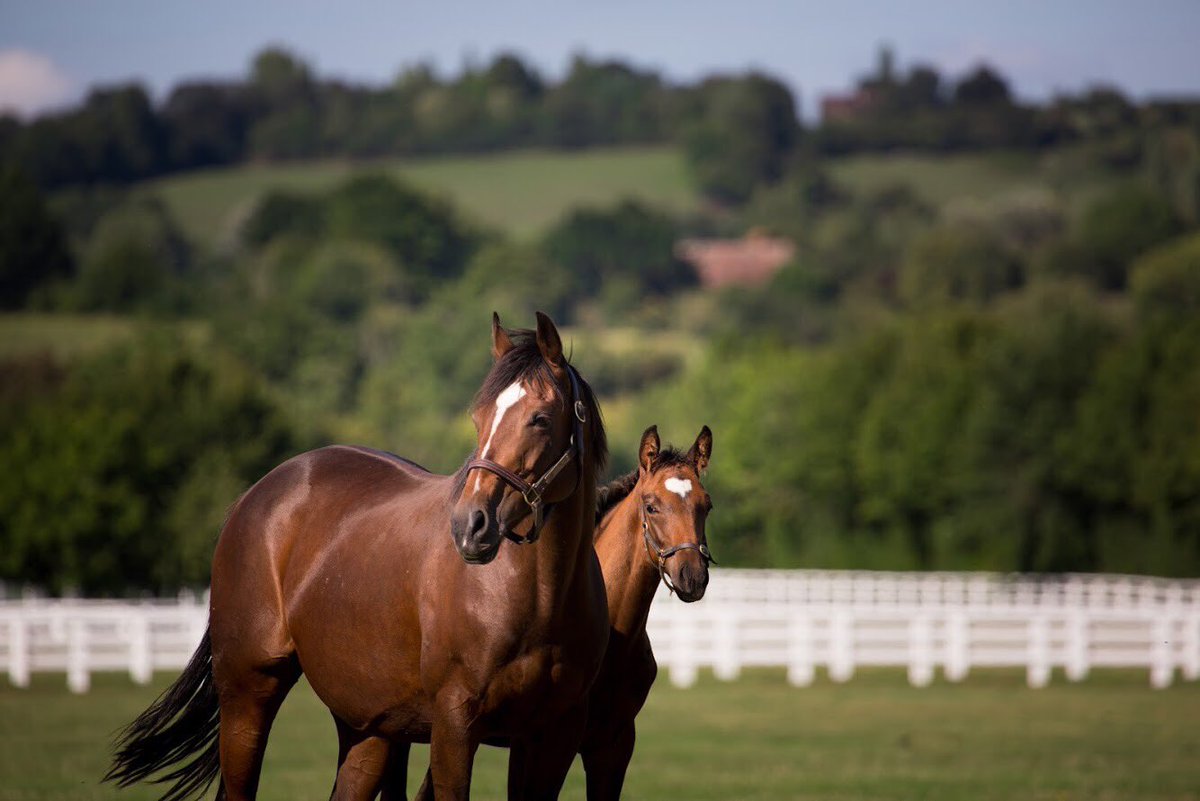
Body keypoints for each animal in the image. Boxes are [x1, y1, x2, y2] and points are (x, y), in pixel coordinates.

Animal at [106, 312, 611, 801]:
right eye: (479, 417)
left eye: (540, 418)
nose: (470, 524)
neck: (537, 598)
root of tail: (255, 496)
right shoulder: (455, 725)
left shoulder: (553, 735)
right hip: (247, 697)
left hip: (366, 728)